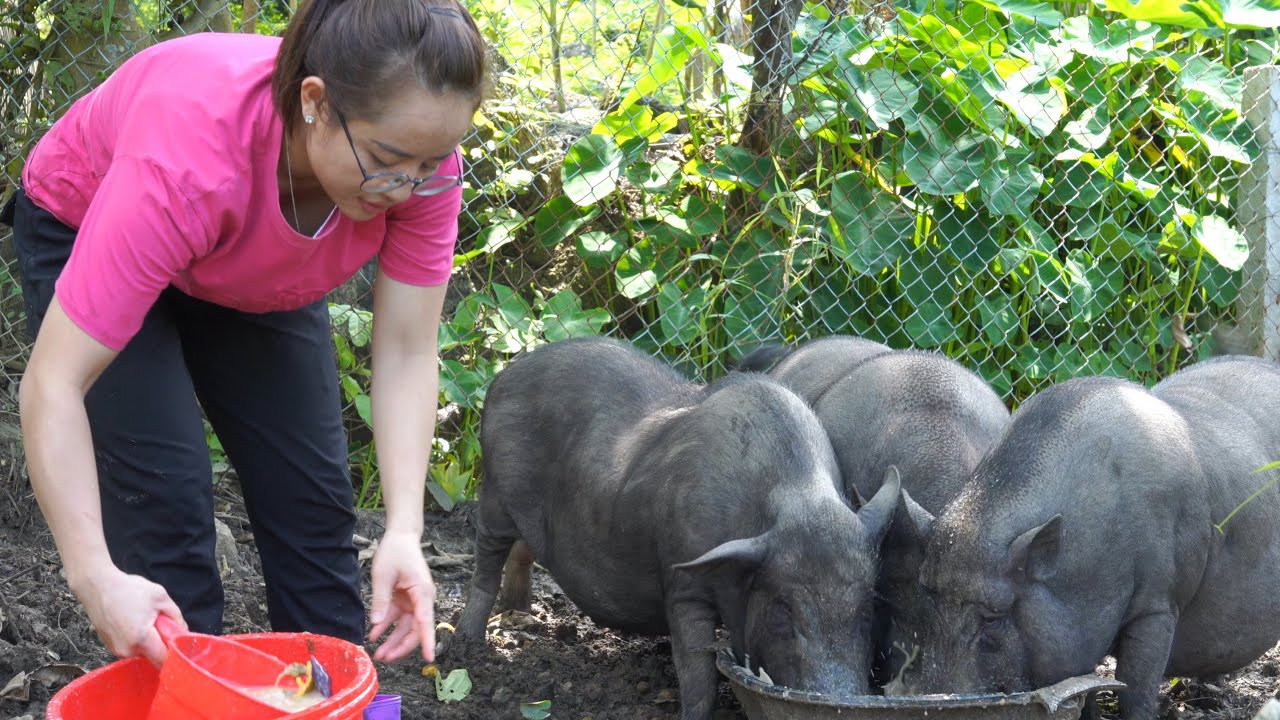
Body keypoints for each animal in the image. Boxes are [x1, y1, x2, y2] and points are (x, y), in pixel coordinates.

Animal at [439, 336, 900, 720]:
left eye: (867, 608)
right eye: (785, 611)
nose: (838, 696)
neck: (796, 494)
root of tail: (505, 375)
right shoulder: (683, 580)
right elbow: (697, 668)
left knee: (524, 548)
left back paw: (520, 611)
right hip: (495, 491)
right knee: (487, 557)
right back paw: (468, 644)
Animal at [897, 355, 1280, 720]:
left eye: (992, 617)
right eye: (928, 602)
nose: (936, 697)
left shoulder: (1159, 604)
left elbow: (1135, 692)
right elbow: (1084, 696)